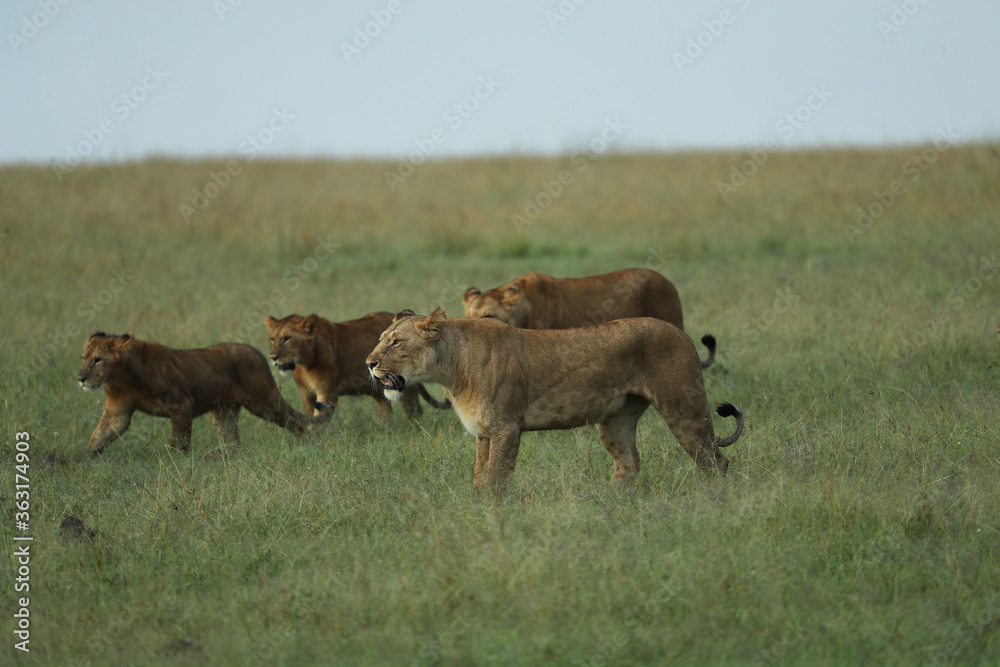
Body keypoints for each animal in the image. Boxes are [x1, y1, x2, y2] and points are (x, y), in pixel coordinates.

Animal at [76, 332, 332, 456]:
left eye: (97, 360)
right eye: (83, 358)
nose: (80, 378)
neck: (123, 376)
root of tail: (257, 352)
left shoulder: (181, 404)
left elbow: (179, 441)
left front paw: (177, 462)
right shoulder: (116, 412)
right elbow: (99, 436)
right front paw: (83, 459)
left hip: (264, 401)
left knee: (296, 421)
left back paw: (308, 443)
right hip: (223, 412)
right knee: (232, 441)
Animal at [268, 312, 452, 418]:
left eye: (287, 338)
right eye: (272, 339)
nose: (273, 357)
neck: (304, 364)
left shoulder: (327, 393)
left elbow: (318, 421)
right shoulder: (306, 395)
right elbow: (309, 416)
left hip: (406, 387)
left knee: (414, 410)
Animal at [368, 310, 744, 494]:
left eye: (397, 342)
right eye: (381, 339)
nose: (369, 363)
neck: (452, 368)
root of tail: (682, 333)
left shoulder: (506, 427)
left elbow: (495, 478)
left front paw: (493, 518)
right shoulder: (483, 433)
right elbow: (478, 477)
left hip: (684, 408)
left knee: (715, 462)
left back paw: (715, 501)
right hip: (614, 420)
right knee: (629, 466)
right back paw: (604, 505)